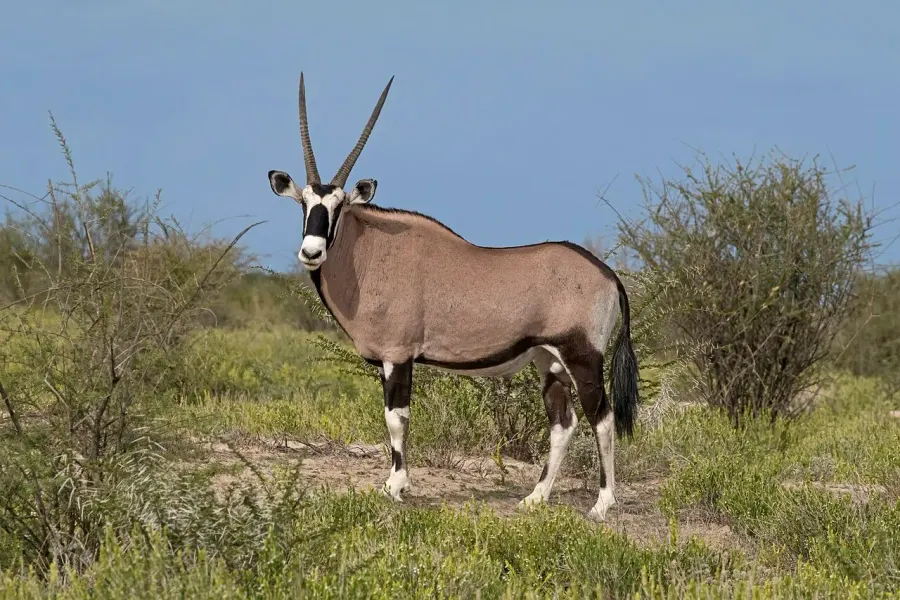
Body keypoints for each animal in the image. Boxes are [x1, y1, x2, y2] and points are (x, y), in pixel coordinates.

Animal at [266, 74, 639, 521]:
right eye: (304, 203)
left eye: (338, 206)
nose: (312, 252)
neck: (371, 250)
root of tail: (607, 274)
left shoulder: (398, 357)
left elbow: (397, 418)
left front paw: (395, 487)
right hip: (549, 361)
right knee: (563, 423)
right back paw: (535, 497)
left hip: (582, 357)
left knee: (602, 418)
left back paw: (602, 504)